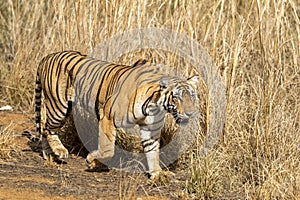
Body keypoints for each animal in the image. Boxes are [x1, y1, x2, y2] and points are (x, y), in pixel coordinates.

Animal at [35, 50, 199, 179]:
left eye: (192, 96)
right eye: (176, 97)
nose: (191, 113)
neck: (156, 106)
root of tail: (47, 57)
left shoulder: (150, 129)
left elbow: (153, 151)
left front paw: (157, 173)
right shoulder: (107, 117)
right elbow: (108, 148)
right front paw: (91, 160)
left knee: (44, 127)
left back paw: (49, 155)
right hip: (59, 106)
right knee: (47, 127)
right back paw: (59, 151)